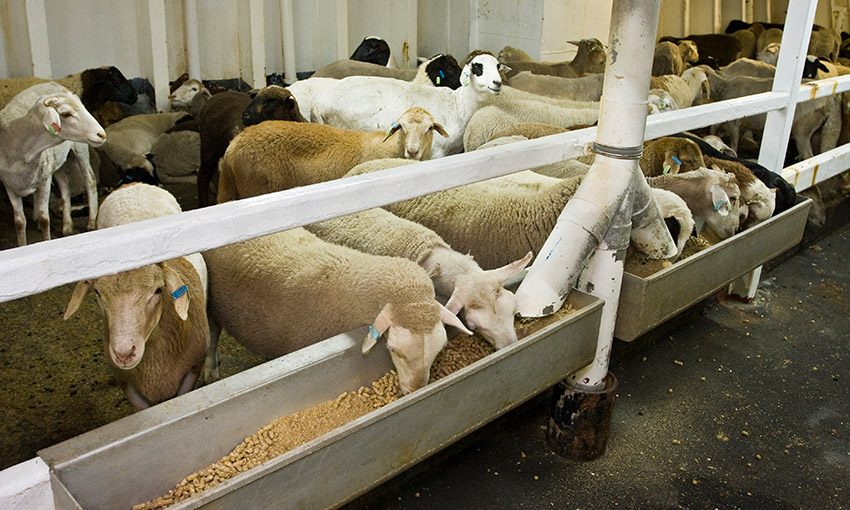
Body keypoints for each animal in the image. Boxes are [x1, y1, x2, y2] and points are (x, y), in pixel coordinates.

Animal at [0, 83, 106, 246]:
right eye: (66, 114)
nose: (101, 134)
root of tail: (51, 83)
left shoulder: (44, 180)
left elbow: (45, 219)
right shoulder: (10, 185)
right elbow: (19, 222)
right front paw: (22, 245)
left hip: (80, 148)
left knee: (90, 179)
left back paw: (91, 222)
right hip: (58, 162)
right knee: (65, 188)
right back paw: (67, 226)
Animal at [63, 183, 213, 411]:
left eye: (158, 290)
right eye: (98, 293)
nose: (124, 353)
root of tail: (133, 184)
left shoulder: (191, 371)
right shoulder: (127, 383)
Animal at [204, 227, 471, 395]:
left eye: (439, 350)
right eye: (394, 350)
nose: (414, 390)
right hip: (212, 306)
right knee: (213, 334)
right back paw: (210, 369)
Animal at [216, 106, 446, 202]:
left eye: (429, 128)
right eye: (402, 128)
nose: (412, 151)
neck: (389, 148)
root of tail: (232, 147)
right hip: (256, 187)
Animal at [310, 53, 506, 158]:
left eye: (497, 66)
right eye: (477, 67)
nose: (497, 83)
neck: (458, 105)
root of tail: (317, 104)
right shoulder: (435, 152)